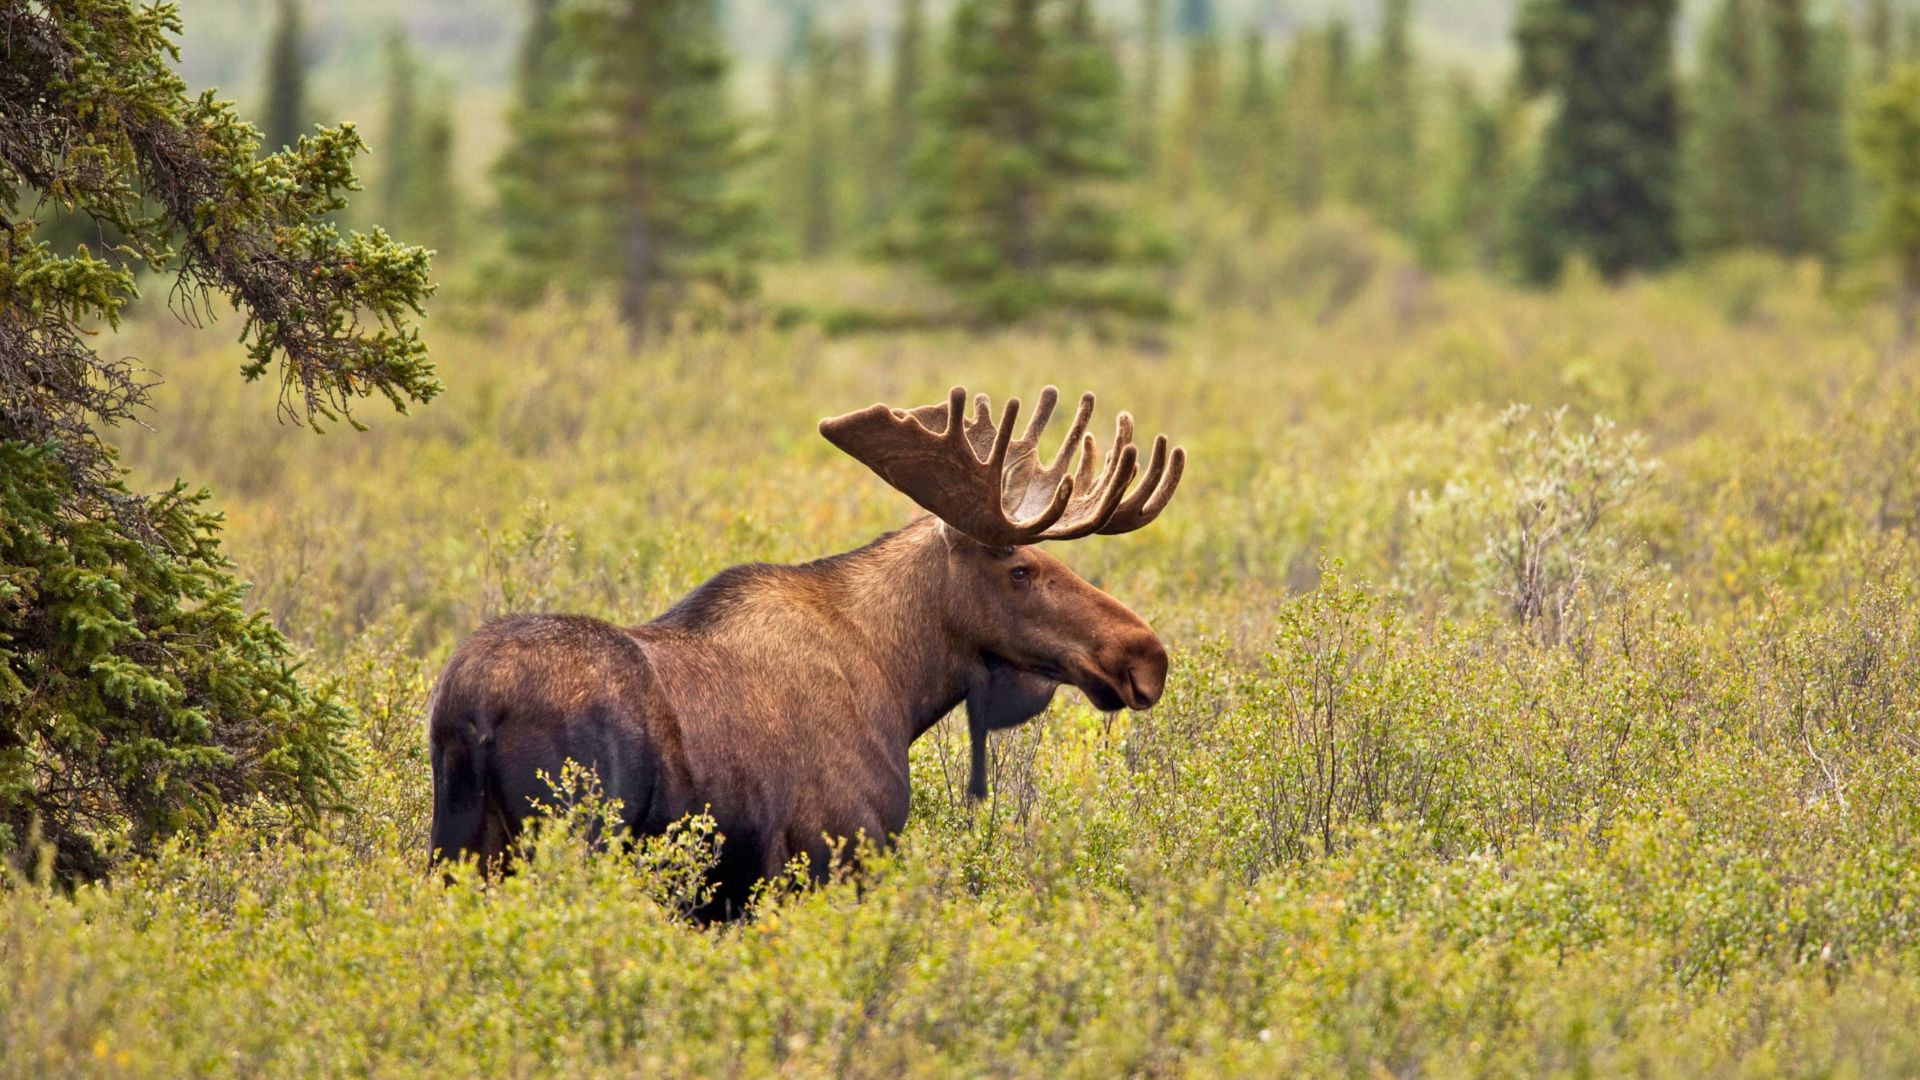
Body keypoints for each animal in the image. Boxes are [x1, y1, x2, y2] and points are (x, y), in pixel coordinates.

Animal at [426, 385, 1185, 916]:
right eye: (1022, 569)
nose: (1145, 654)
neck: (900, 684)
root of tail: (472, 709)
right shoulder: (836, 855)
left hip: (456, 846)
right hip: (570, 839)